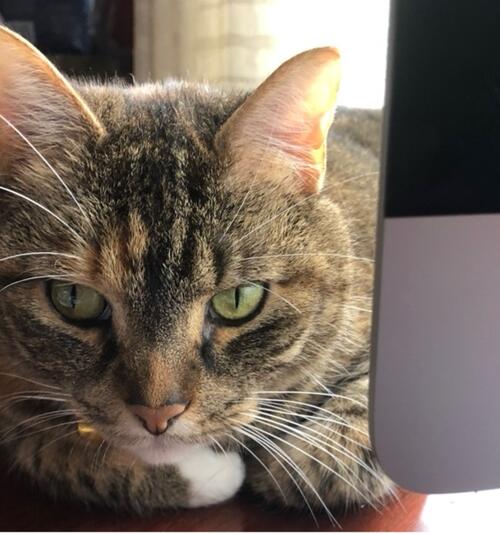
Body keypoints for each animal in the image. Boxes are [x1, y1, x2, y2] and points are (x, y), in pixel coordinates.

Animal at [0, 27, 394, 520]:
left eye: (238, 300)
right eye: (74, 299)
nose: (157, 414)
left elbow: (321, 462)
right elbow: (49, 447)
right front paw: (208, 474)